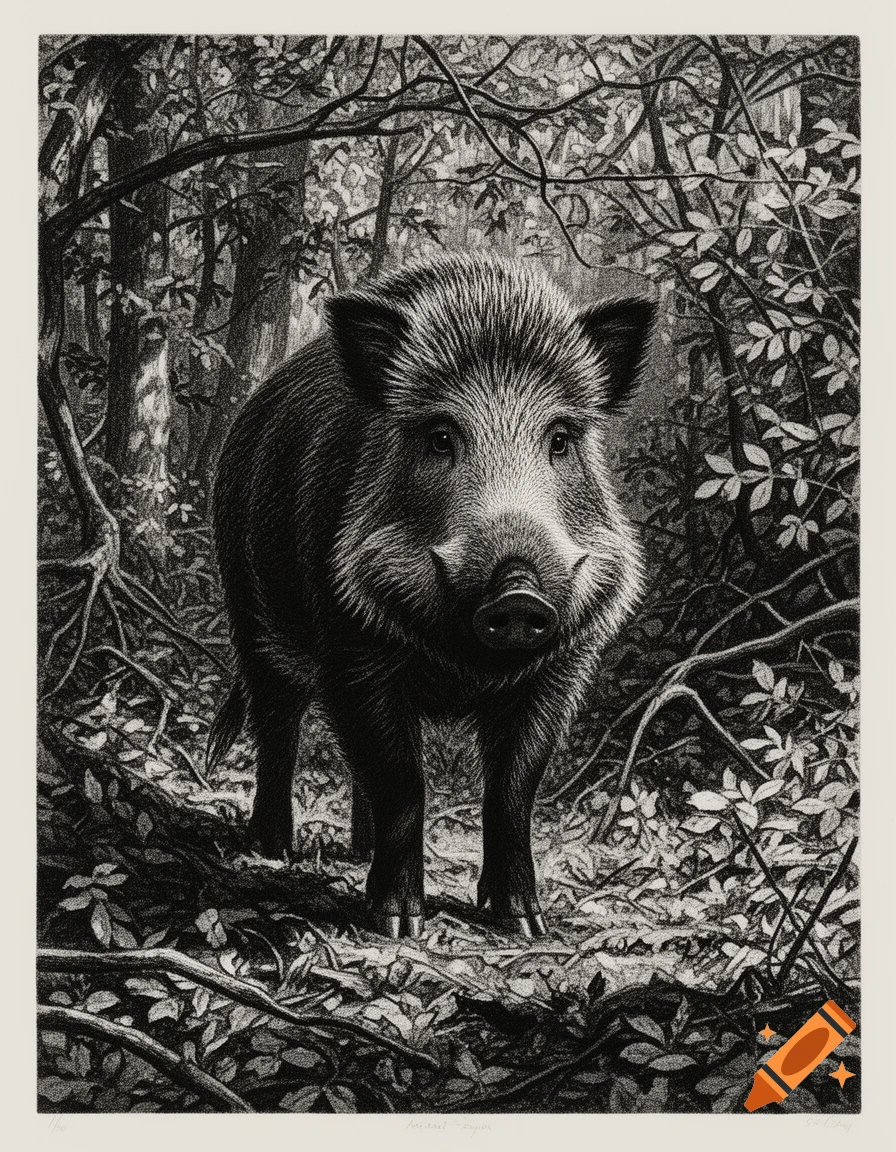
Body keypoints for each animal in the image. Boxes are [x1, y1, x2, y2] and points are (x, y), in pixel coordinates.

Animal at [209, 253, 655, 939]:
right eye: (441, 436)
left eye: (560, 438)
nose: (518, 593)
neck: (463, 666)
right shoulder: (351, 649)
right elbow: (402, 782)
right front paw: (396, 925)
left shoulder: (563, 666)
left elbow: (512, 789)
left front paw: (524, 923)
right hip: (250, 609)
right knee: (277, 722)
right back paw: (272, 848)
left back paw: (353, 852)